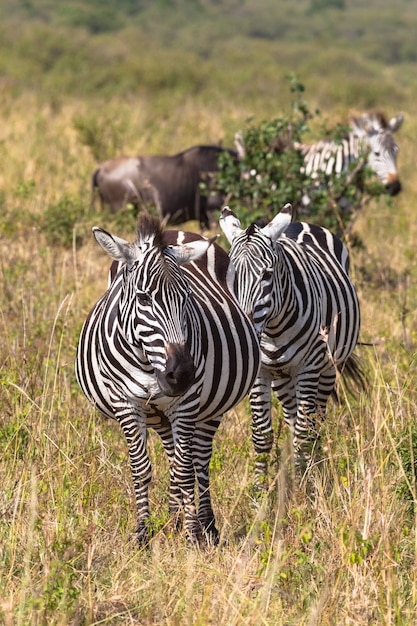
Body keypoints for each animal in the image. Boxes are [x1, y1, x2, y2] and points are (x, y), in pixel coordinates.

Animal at [73, 212, 258, 544]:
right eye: (144, 298)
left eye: (187, 298)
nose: (182, 374)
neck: (149, 364)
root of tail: (177, 231)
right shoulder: (127, 404)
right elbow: (141, 469)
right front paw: (143, 533)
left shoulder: (186, 404)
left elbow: (185, 470)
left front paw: (193, 535)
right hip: (158, 414)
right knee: (173, 457)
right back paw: (173, 520)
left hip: (209, 408)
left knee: (199, 460)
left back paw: (206, 525)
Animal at [218, 204, 360, 482]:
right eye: (230, 277)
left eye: (267, 275)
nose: (245, 330)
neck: (273, 329)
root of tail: (299, 223)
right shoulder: (260, 372)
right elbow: (262, 436)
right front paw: (259, 488)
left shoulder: (308, 367)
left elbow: (305, 432)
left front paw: (304, 485)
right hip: (283, 378)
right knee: (293, 419)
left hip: (327, 367)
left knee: (316, 421)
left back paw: (315, 466)